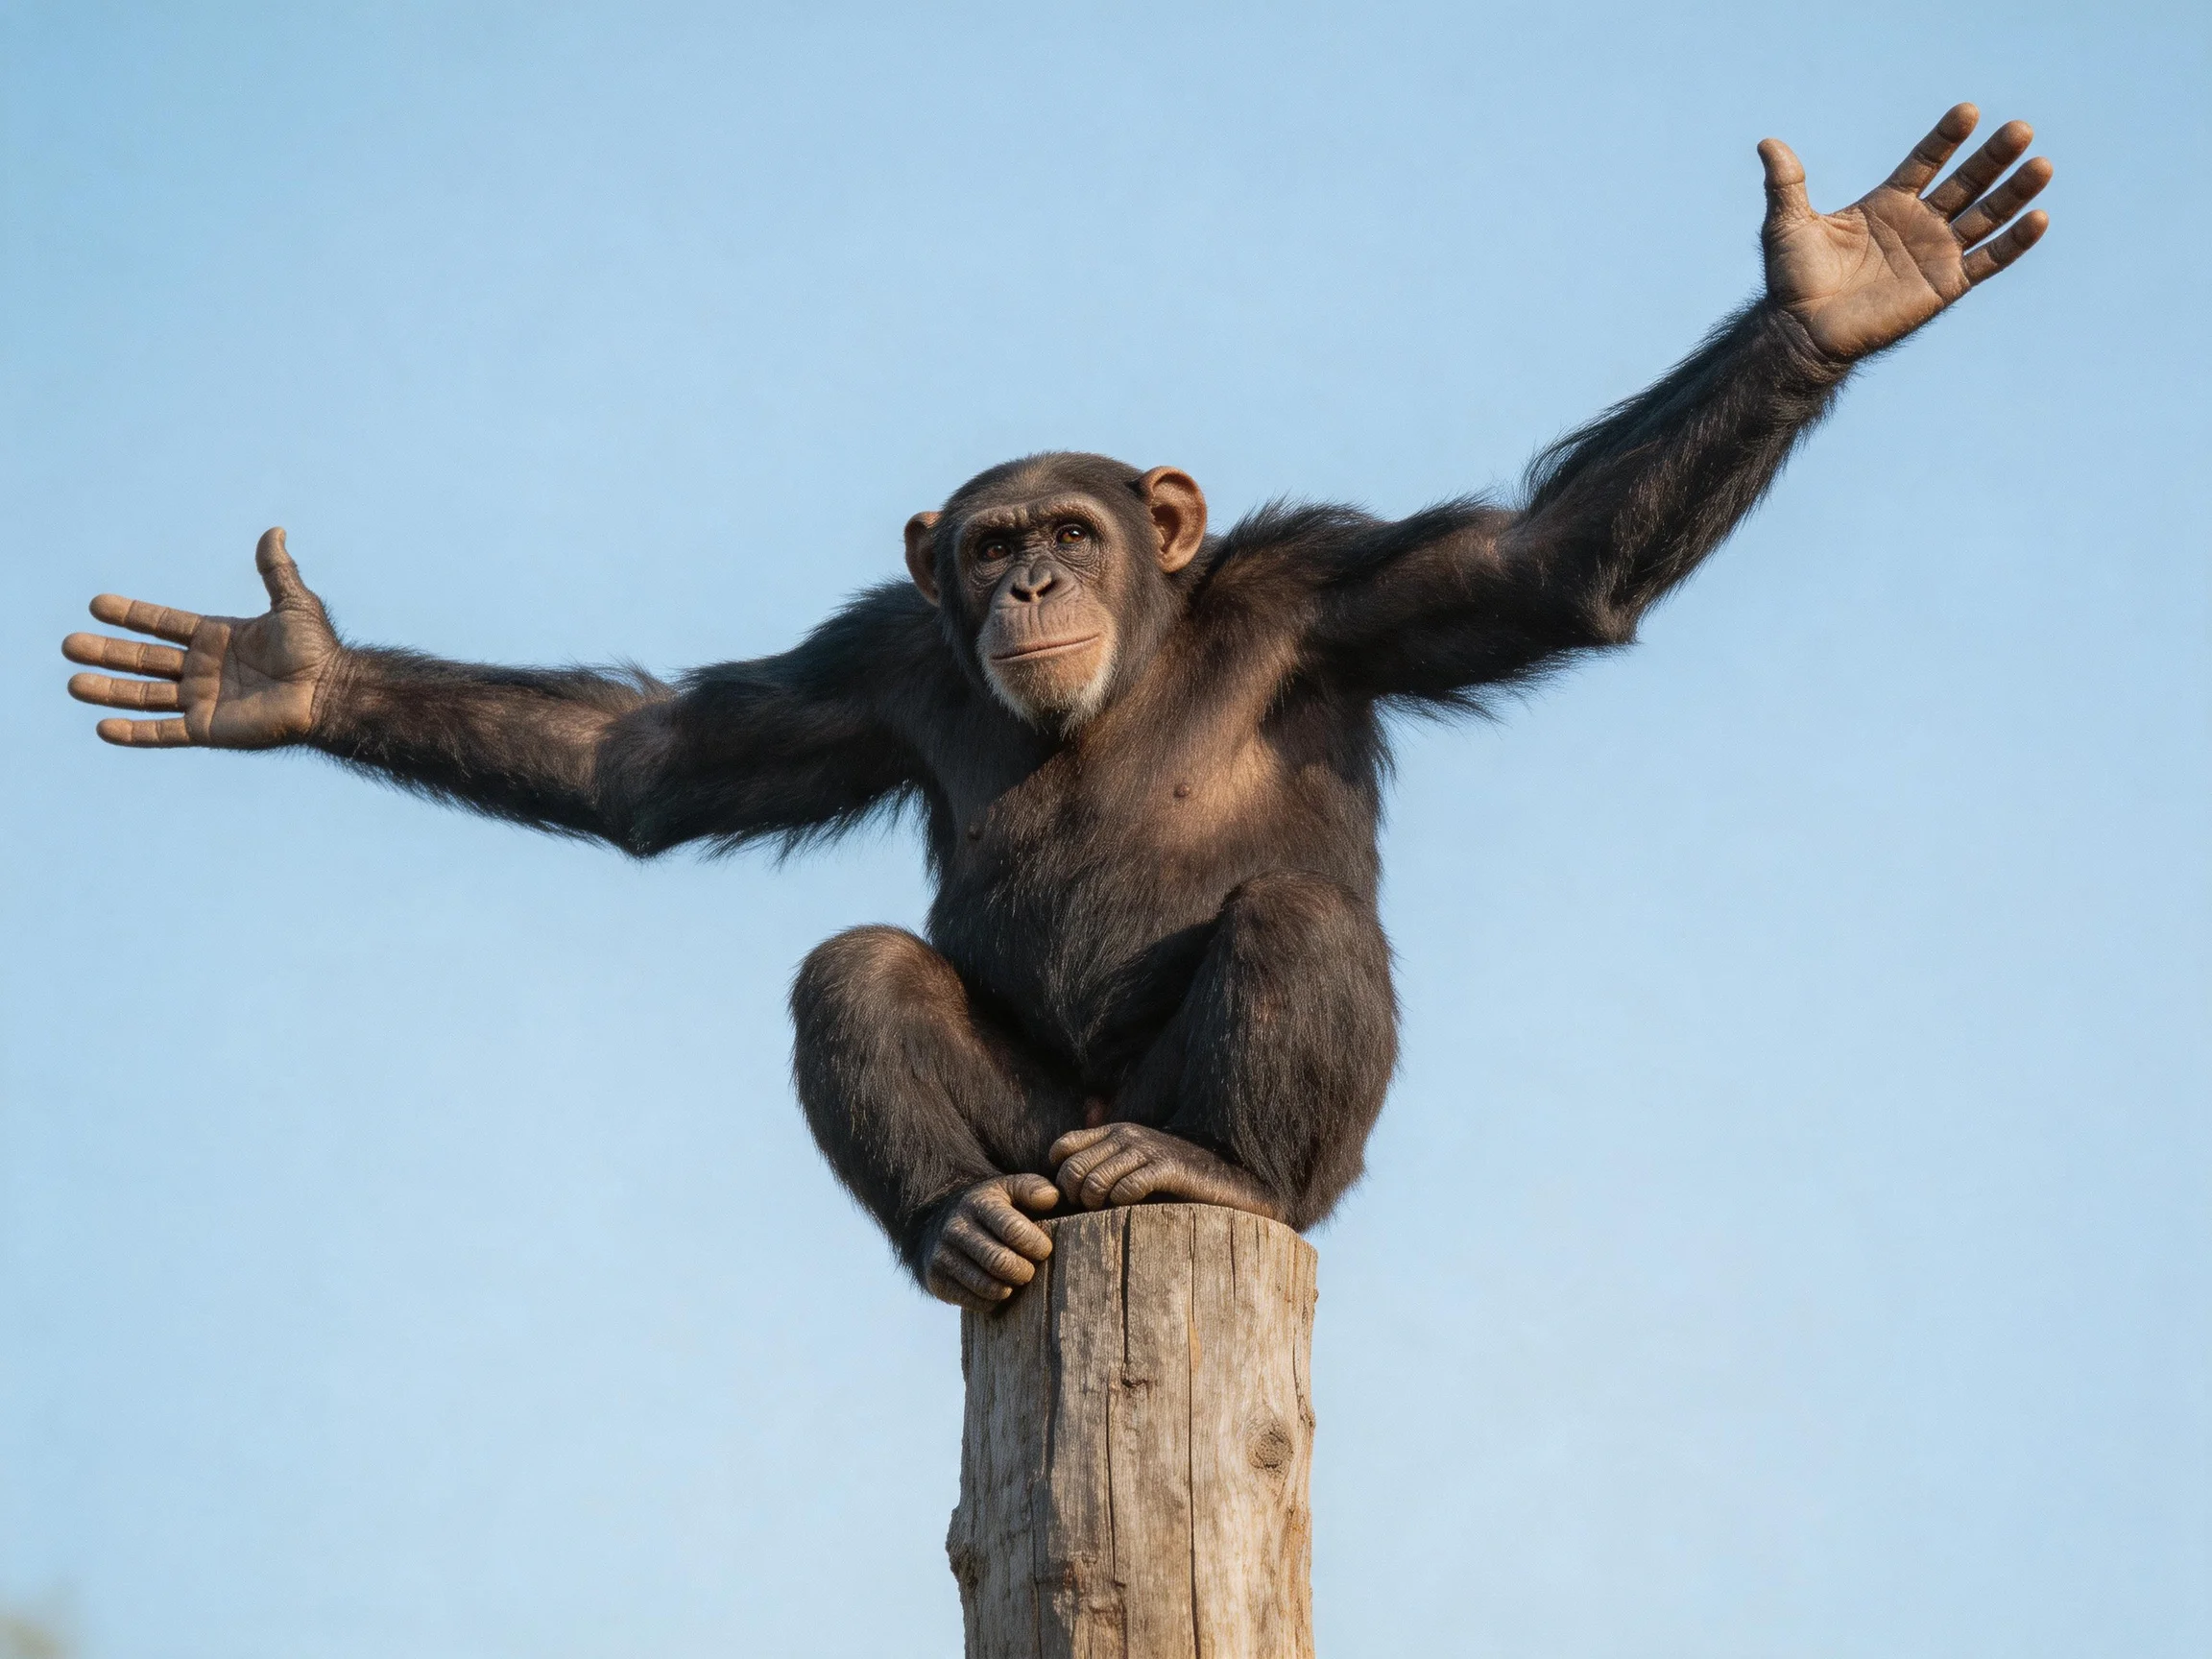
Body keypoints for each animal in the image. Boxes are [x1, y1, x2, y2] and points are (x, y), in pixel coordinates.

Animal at [62, 107, 2050, 1309]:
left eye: (1072, 532)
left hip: (1280, 1171)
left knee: (1290, 925)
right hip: (1034, 1139)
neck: (1144, 650)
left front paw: (1846, 280)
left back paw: (1208, 1168)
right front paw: (283, 671)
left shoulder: (1348, 590)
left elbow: (1547, 562)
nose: (1027, 586)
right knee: (855, 967)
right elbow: (655, 763)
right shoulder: (867, 666)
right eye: (993, 540)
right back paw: (956, 1216)